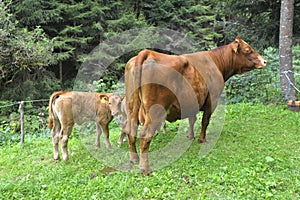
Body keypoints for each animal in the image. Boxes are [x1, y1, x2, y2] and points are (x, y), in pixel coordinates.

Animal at [124, 36, 268, 175]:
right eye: (248, 50)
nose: (264, 61)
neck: (216, 62)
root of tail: (148, 52)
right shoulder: (212, 100)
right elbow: (205, 121)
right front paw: (201, 139)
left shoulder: (192, 102)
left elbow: (192, 120)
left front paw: (190, 136)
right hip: (155, 111)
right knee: (145, 134)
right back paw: (145, 168)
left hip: (132, 107)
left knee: (130, 129)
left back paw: (134, 158)